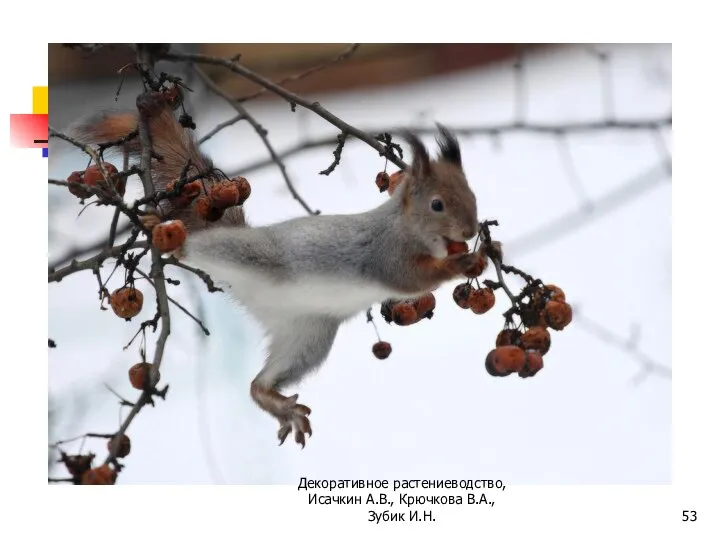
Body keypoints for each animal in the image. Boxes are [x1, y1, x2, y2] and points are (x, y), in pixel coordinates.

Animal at [73, 100, 484, 448]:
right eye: (437, 205)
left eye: (473, 195)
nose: (470, 231)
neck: (407, 227)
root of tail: (259, 300)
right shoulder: (388, 255)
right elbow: (412, 280)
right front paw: (460, 263)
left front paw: (470, 254)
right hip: (248, 255)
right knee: (202, 246)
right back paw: (170, 234)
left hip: (308, 337)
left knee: (258, 384)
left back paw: (278, 404)